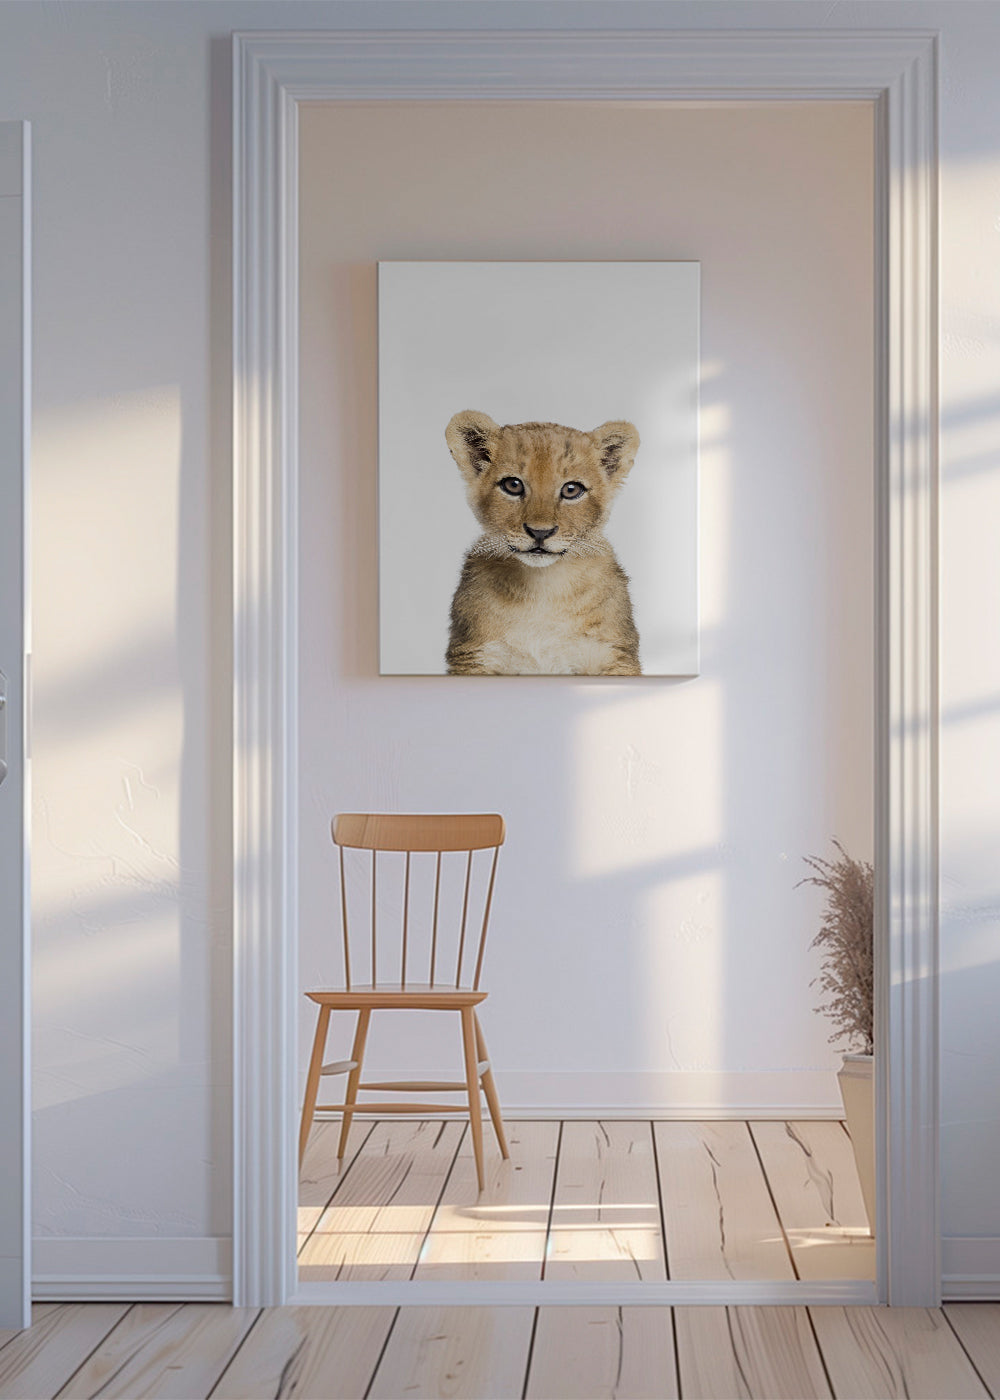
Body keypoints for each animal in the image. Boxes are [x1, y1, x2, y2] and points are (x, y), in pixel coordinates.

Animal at [444, 411, 642, 675]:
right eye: (513, 485)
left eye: (571, 489)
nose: (540, 532)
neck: (543, 587)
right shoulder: (474, 656)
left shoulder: (614, 655)